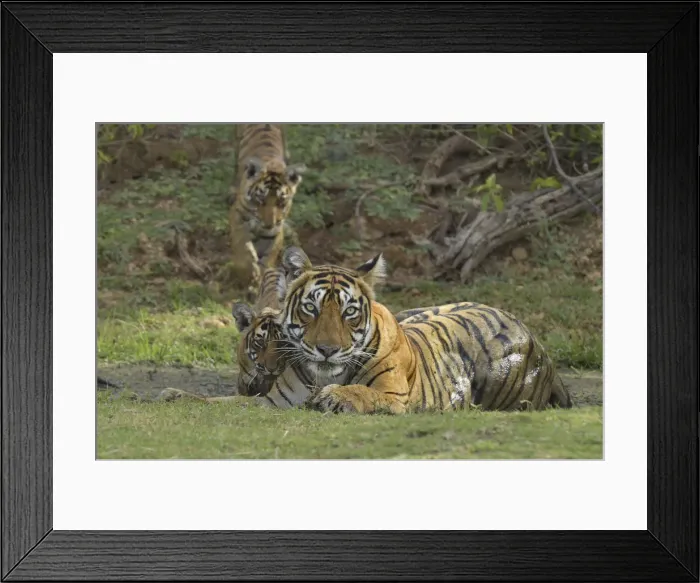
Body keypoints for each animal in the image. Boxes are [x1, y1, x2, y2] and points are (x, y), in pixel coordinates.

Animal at [225, 123, 306, 298]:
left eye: (281, 202)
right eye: (261, 199)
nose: (268, 224)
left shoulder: (274, 232)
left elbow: (268, 258)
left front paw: (258, 284)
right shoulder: (238, 216)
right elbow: (243, 247)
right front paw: (250, 272)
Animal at [255, 246, 573, 414]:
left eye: (350, 312)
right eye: (311, 308)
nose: (327, 350)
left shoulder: (396, 396)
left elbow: (363, 392)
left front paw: (336, 396)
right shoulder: (273, 402)